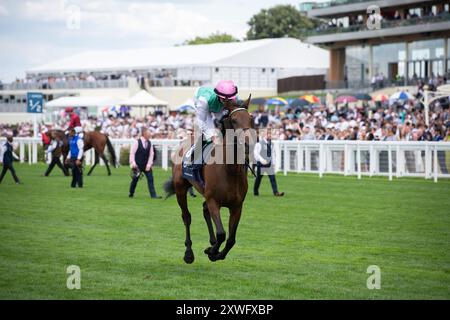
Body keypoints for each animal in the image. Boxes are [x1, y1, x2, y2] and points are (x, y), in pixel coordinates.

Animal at [163, 94, 255, 262]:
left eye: (251, 118)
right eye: (234, 120)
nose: (247, 145)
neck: (229, 169)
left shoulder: (237, 206)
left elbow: (231, 239)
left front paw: (216, 252)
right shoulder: (214, 201)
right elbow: (222, 233)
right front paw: (211, 251)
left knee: (204, 209)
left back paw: (211, 243)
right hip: (180, 188)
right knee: (186, 216)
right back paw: (189, 253)